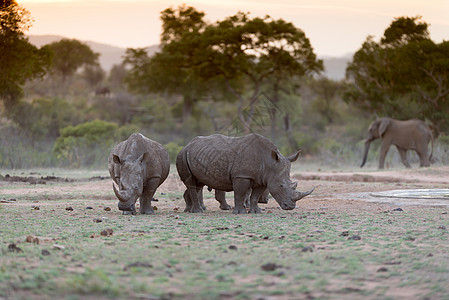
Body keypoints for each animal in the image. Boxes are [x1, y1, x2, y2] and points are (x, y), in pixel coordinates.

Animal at [174, 133, 312, 213]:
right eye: (281, 186)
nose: (290, 207)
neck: (269, 162)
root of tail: (186, 145)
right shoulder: (242, 175)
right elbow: (240, 193)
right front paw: (239, 212)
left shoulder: (263, 178)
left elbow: (255, 196)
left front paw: (257, 212)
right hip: (182, 155)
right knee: (191, 183)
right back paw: (197, 212)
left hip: (197, 155)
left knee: (198, 183)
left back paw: (189, 210)